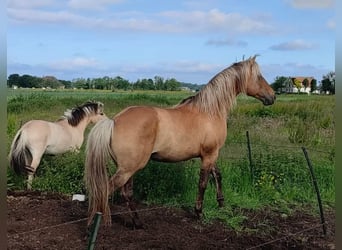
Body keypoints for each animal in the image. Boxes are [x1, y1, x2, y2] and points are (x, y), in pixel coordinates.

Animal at [85, 55, 276, 228]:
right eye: (259, 76)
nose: (272, 96)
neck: (210, 110)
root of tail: (114, 121)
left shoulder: (212, 154)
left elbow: (218, 176)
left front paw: (222, 204)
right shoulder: (209, 155)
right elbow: (203, 183)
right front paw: (198, 212)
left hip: (127, 168)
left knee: (126, 193)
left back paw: (137, 222)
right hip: (129, 168)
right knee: (108, 190)